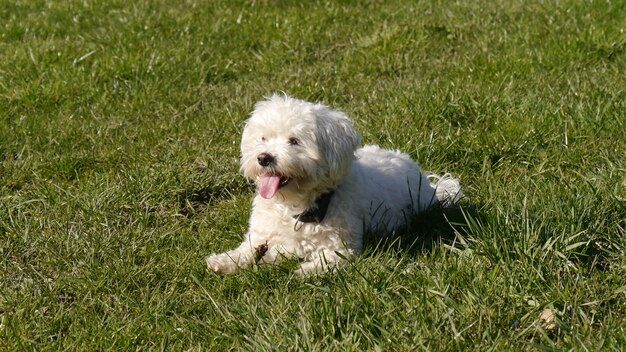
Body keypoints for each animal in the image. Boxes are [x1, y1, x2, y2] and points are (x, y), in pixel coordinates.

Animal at [205, 95, 458, 276]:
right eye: (263, 138)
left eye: (294, 141)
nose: (264, 158)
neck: (295, 207)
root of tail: (429, 184)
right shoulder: (260, 235)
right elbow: (245, 250)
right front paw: (224, 261)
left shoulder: (342, 246)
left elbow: (328, 258)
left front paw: (305, 270)